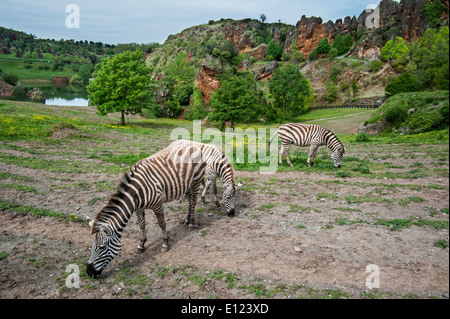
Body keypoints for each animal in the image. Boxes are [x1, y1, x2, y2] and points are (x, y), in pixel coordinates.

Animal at [85, 139, 239, 278]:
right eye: (92, 245)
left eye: (102, 247)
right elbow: (142, 225)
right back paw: (186, 219)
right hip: (187, 182)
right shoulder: (138, 209)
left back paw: (191, 223)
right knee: (189, 199)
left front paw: (165, 243)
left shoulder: (157, 205)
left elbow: (162, 223)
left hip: (195, 180)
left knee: (193, 201)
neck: (137, 193)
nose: (88, 272)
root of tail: (193, 144)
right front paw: (141, 244)